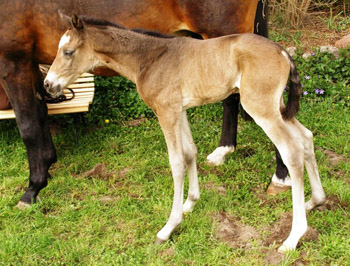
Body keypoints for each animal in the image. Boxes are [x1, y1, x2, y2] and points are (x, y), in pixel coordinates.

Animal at [43, 15, 326, 252]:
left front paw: (168, 227)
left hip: (261, 107)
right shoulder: (179, 110)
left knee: (291, 150)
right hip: (278, 108)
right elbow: (190, 152)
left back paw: (293, 237)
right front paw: (190, 202)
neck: (149, 58)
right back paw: (316, 201)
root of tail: (282, 51)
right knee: (306, 138)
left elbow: (176, 162)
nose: (48, 84)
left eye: (68, 52)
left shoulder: (166, 111)